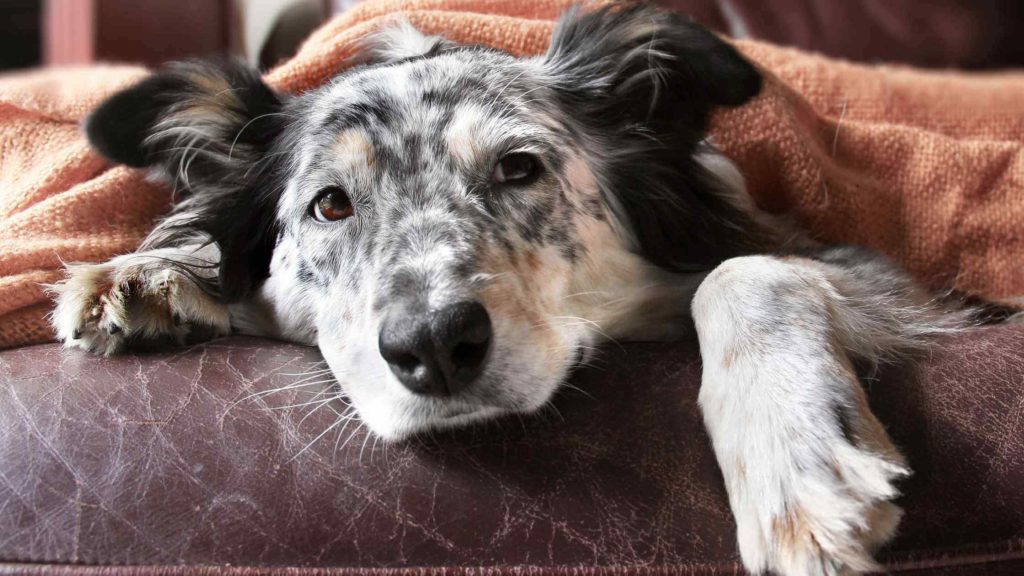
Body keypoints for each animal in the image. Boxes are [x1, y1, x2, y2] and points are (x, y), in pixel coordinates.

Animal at [49, 4, 991, 573]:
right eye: (330, 205)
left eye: (518, 168)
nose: (434, 347)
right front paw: (151, 275)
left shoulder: (865, 270)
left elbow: (743, 270)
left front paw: (795, 462)